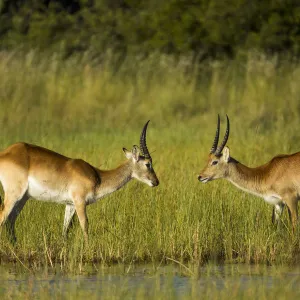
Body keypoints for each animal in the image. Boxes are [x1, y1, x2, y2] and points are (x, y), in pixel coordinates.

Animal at [0, 120, 159, 243]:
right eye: (148, 164)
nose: (156, 182)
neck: (98, 177)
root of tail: (5, 153)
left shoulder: (69, 204)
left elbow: (65, 230)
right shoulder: (80, 201)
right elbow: (85, 225)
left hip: (23, 198)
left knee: (10, 221)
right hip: (14, 195)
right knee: (3, 217)